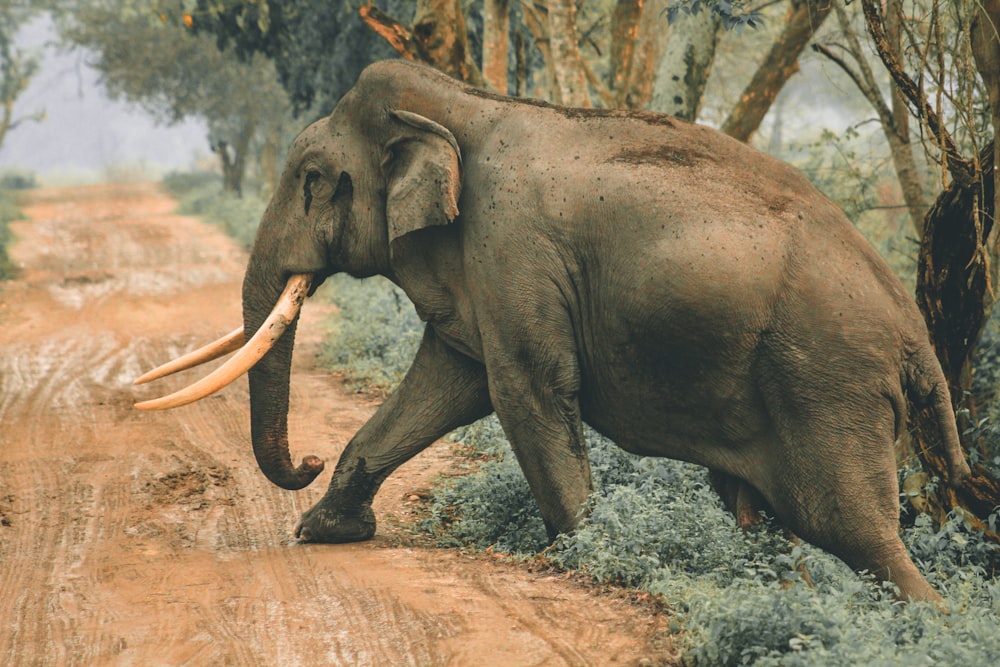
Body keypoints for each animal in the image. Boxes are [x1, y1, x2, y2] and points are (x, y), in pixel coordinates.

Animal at [133, 60, 968, 604]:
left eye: (312, 179)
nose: (302, 460)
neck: (464, 104)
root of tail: (915, 333)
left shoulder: (514, 245)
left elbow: (524, 390)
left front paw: (590, 562)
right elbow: (453, 378)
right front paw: (325, 531)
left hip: (828, 380)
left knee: (855, 528)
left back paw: (924, 622)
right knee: (785, 520)